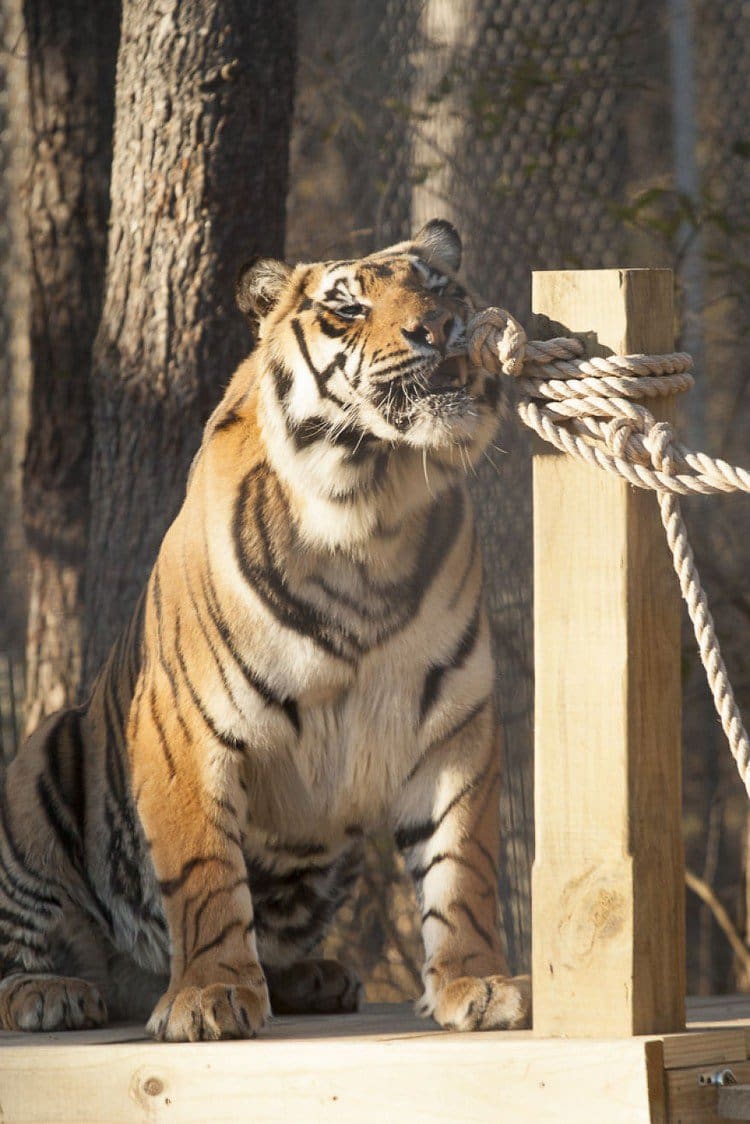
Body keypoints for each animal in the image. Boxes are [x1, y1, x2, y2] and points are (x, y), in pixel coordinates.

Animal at [0, 219, 530, 1043]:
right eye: (345, 306)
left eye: (440, 287)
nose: (439, 328)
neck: (370, 511)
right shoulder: (183, 728)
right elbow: (205, 875)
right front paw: (209, 994)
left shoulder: (454, 723)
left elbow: (462, 863)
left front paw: (479, 983)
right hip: (34, 769)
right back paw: (51, 992)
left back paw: (312, 977)